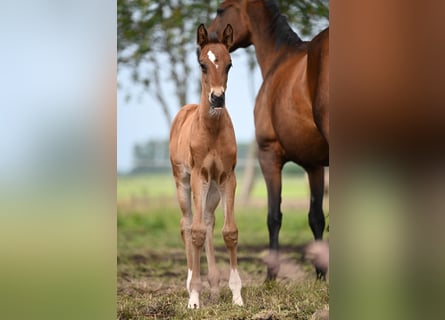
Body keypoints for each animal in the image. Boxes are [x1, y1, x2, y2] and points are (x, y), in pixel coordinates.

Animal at [168, 23, 243, 308]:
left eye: (229, 64)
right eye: (202, 64)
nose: (217, 98)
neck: (211, 130)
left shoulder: (227, 176)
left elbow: (229, 231)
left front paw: (236, 295)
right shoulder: (198, 174)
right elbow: (196, 231)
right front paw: (194, 298)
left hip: (212, 188)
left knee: (209, 221)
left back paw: (213, 286)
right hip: (182, 181)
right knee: (187, 224)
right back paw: (192, 283)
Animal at [206, 0, 328, 280]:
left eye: (221, 9)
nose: (207, 43)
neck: (279, 60)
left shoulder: (268, 155)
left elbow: (274, 216)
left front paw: (271, 275)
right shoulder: (314, 165)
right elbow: (316, 217)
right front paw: (320, 274)